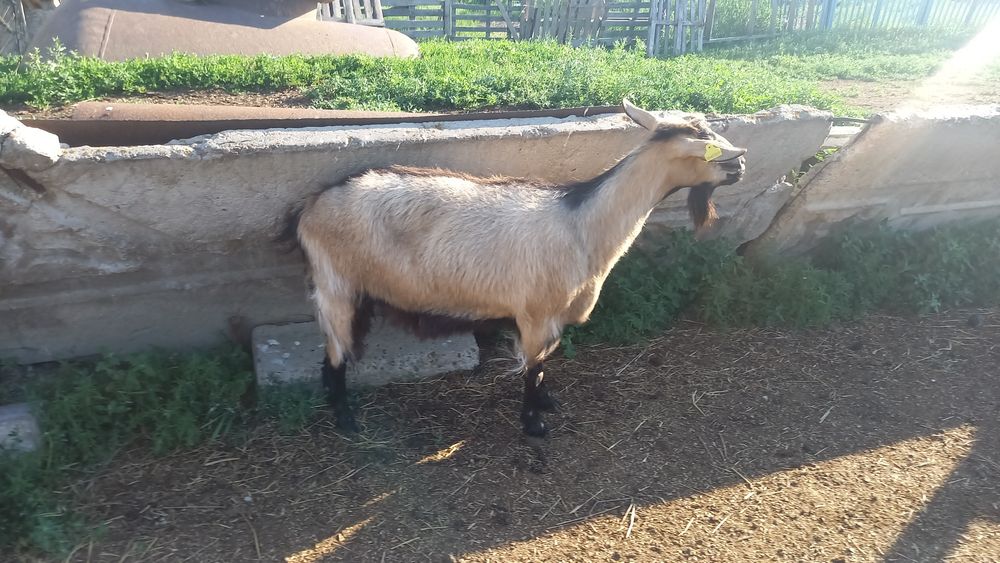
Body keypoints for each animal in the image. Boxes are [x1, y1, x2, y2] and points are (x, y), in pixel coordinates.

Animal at [284, 99, 747, 437]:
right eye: (706, 146)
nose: (742, 164)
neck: (583, 225)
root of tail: (310, 208)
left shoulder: (553, 319)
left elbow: (543, 367)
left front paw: (545, 403)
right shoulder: (536, 315)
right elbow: (531, 369)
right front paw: (534, 423)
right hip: (334, 286)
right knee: (335, 355)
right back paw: (346, 421)